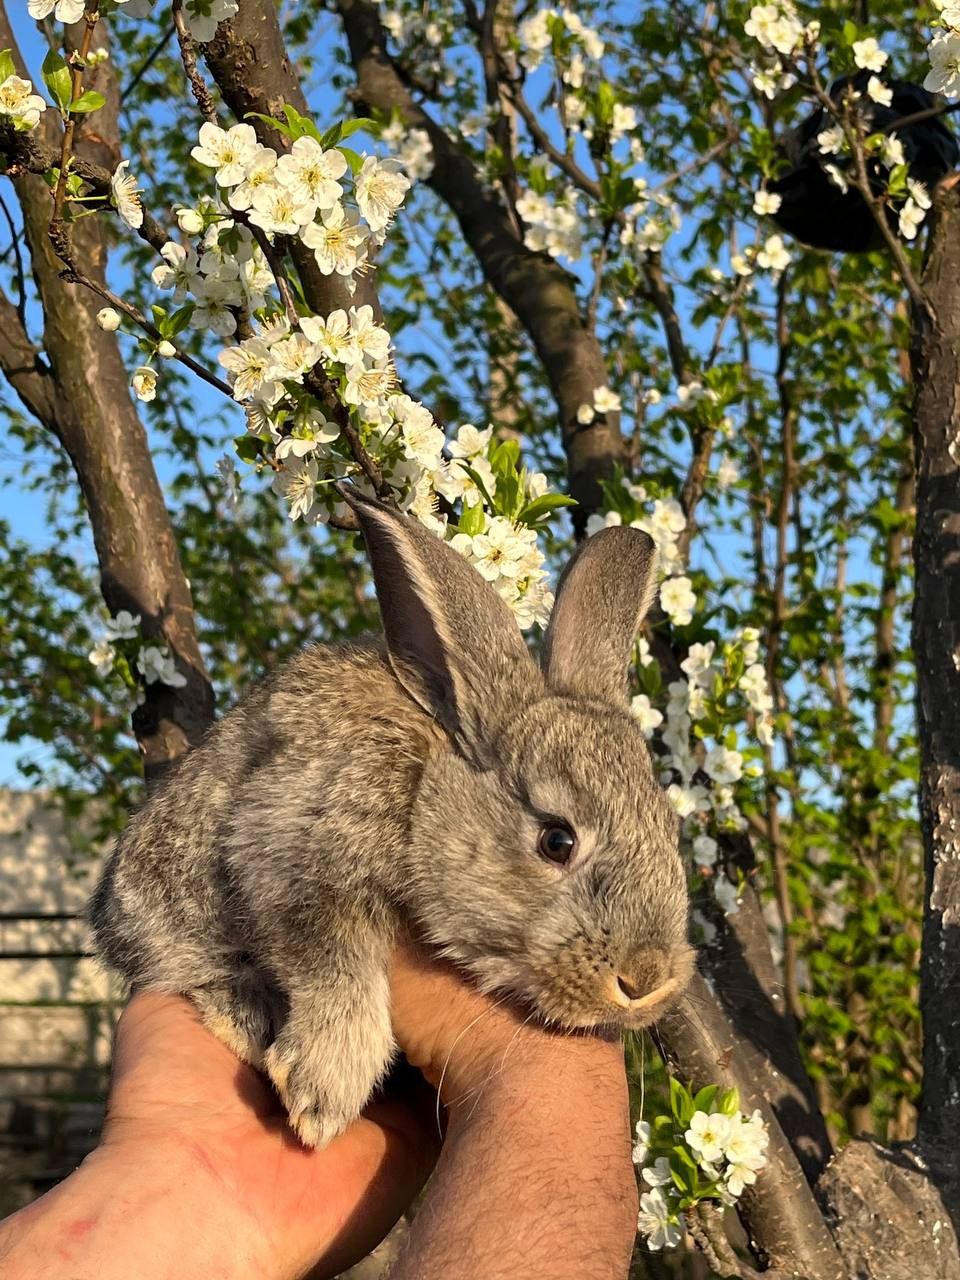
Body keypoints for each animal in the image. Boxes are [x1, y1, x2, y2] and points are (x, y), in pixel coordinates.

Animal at [88, 488, 691, 1152]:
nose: (645, 980)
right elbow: (333, 965)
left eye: (672, 836)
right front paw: (324, 1089)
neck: (426, 786)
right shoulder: (294, 851)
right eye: (557, 841)